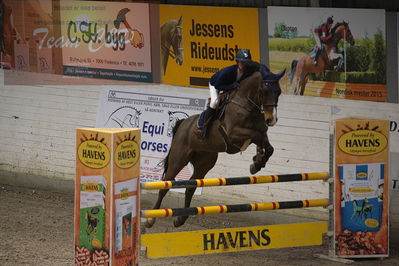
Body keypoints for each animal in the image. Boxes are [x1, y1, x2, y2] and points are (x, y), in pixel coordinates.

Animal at [145, 67, 286, 229]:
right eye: (264, 90)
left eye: (279, 92)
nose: (272, 120)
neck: (246, 105)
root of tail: (183, 124)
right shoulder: (233, 134)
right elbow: (257, 136)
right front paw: (257, 161)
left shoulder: (260, 132)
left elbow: (267, 145)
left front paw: (257, 163)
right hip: (178, 160)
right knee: (166, 185)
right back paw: (150, 220)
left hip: (204, 164)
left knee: (190, 187)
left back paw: (180, 219)